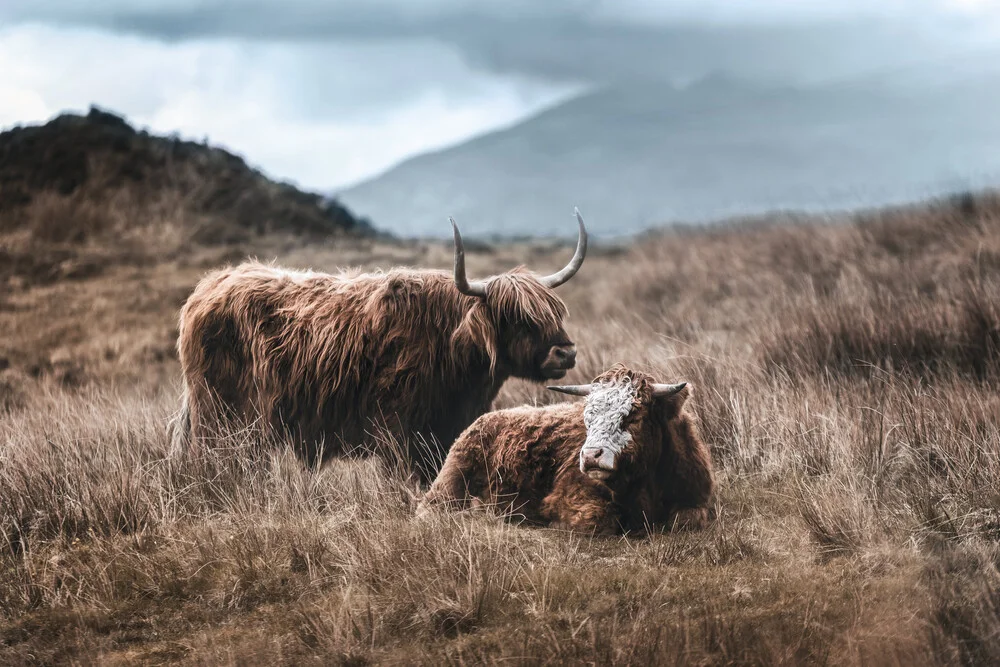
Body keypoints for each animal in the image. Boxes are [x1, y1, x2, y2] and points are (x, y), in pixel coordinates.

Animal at [171, 211, 584, 478]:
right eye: (516, 317)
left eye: (554, 312)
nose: (566, 351)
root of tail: (208, 288)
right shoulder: (398, 435)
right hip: (222, 420)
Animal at [418, 362, 716, 536]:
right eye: (587, 417)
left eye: (633, 416)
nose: (591, 455)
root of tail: (484, 418)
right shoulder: (569, 498)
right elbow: (598, 520)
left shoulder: (697, 500)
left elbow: (687, 520)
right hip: (447, 486)